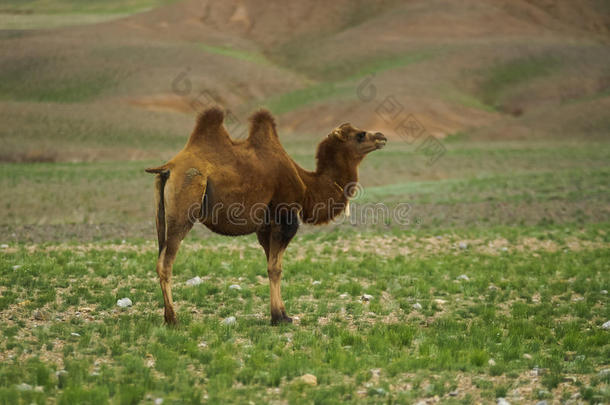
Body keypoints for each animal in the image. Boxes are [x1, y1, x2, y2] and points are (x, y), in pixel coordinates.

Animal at [145, 105, 384, 324]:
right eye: (360, 134)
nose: (381, 136)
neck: (307, 185)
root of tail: (168, 169)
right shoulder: (284, 217)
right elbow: (275, 268)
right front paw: (280, 318)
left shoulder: (264, 227)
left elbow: (270, 265)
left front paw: (280, 314)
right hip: (184, 207)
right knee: (166, 262)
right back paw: (173, 319)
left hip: (161, 216)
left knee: (159, 257)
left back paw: (167, 316)